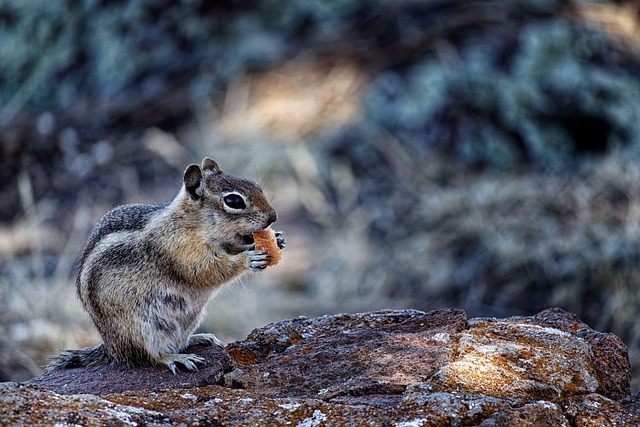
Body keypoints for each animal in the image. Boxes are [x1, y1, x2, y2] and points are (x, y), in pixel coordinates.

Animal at [45, 157, 284, 374]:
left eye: (255, 186)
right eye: (233, 201)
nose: (273, 216)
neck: (191, 222)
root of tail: (112, 349)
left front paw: (277, 240)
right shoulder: (179, 250)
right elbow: (207, 271)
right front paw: (249, 259)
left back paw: (199, 338)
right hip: (141, 329)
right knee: (147, 357)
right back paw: (176, 358)